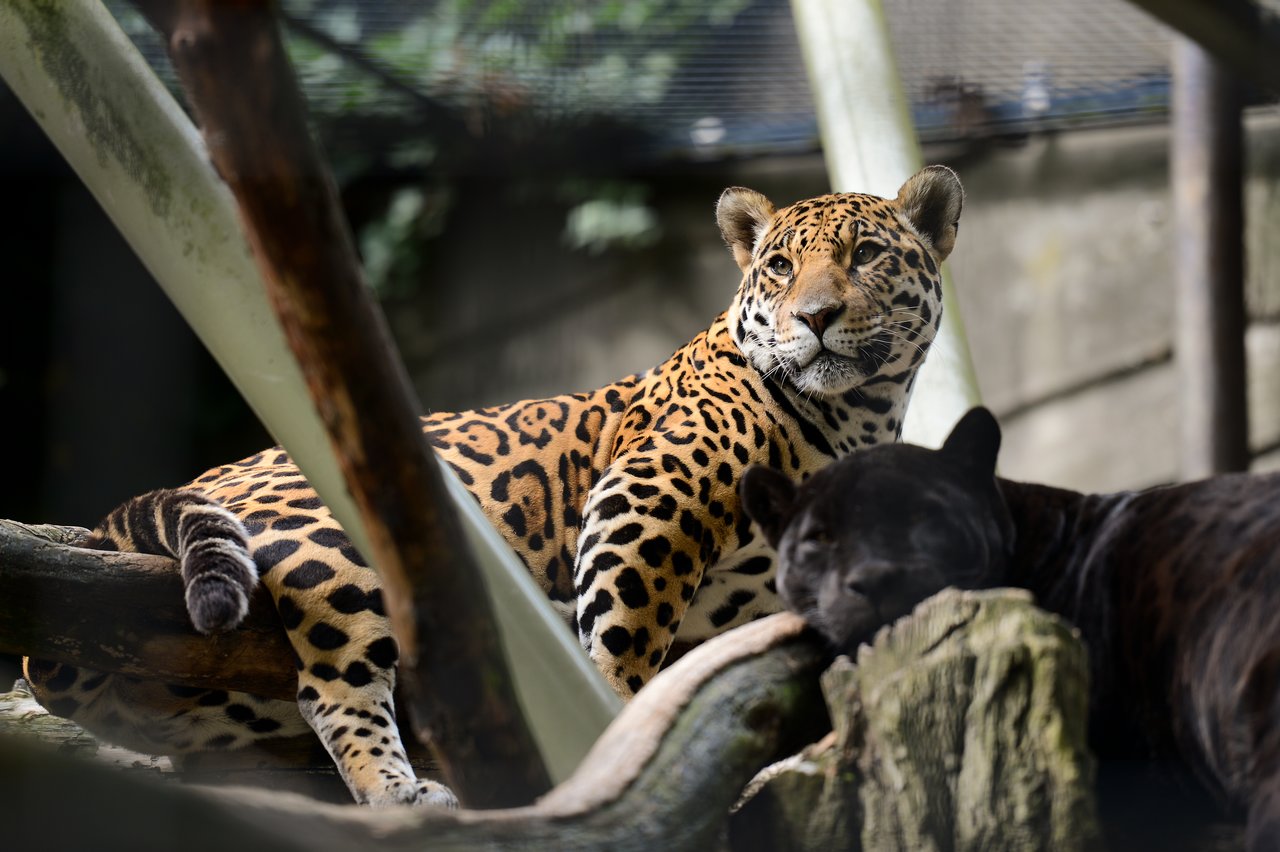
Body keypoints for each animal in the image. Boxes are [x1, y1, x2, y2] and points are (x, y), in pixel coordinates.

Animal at [23, 165, 964, 807]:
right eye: (777, 268)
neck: (860, 414)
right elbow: (623, 637)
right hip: (333, 545)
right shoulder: (650, 495)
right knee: (334, 686)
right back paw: (399, 794)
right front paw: (611, 732)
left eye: (865, 256)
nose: (815, 317)